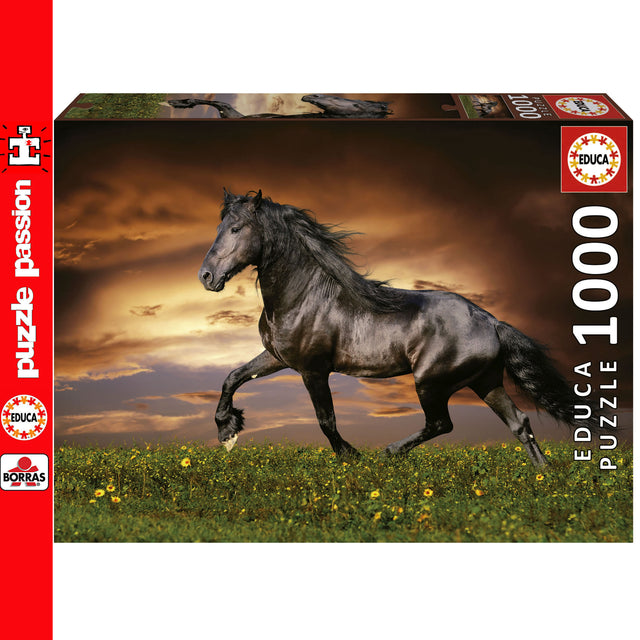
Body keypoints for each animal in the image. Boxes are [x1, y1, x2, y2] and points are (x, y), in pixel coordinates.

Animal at [198, 189, 595, 467]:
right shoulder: (277, 357)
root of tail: (492, 322)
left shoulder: (313, 369)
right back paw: (544, 475)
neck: (304, 296)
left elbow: (326, 419)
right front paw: (228, 430)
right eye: (218, 228)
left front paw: (351, 456)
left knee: (442, 424)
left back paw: (389, 452)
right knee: (519, 422)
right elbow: (232, 377)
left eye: (235, 229)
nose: (206, 276)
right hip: (485, 381)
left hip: (431, 382)